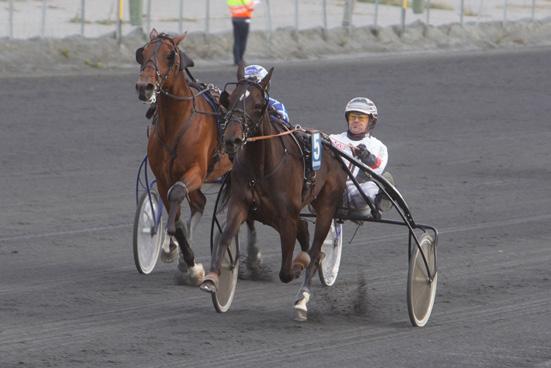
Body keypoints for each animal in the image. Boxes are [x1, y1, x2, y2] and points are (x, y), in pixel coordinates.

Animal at [136, 30, 237, 286]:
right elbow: (177, 215)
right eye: (142, 52)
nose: (144, 86)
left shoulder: (195, 171)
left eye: (170, 55)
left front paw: (186, 260)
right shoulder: (164, 179)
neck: (176, 124)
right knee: (199, 202)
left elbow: (178, 195)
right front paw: (183, 258)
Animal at [201, 64, 350, 320]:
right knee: (304, 230)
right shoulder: (240, 205)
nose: (232, 139)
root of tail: (333, 149)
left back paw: (303, 294)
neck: (261, 168)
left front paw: (300, 265)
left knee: (316, 245)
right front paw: (212, 278)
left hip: (326, 207)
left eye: (258, 105)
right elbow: (225, 237)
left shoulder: (286, 217)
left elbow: (286, 271)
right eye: (230, 100)